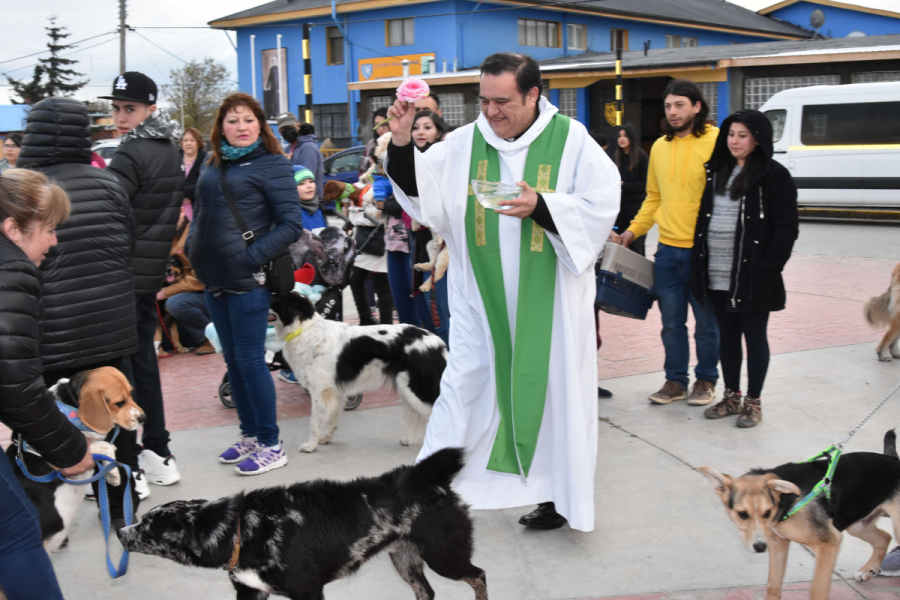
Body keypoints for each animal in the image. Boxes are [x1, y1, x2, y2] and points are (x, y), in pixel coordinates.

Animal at [6, 366, 144, 552]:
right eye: (120, 403)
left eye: (130, 394)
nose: (143, 418)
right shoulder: (66, 454)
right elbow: (103, 445)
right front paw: (113, 472)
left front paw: (111, 473)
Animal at [118, 448, 488, 596]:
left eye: (148, 527)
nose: (121, 532)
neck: (244, 529)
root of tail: (433, 483)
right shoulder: (251, 594)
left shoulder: (308, 593)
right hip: (406, 560)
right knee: (427, 591)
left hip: (445, 557)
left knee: (479, 576)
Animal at [270, 292, 446, 452]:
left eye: (274, 298)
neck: (303, 329)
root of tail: (438, 342)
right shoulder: (335, 391)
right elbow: (332, 417)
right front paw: (325, 438)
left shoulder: (320, 391)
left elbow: (314, 421)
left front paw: (310, 446)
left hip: (415, 390)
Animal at [700, 428, 900, 600]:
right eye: (742, 514)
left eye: (767, 512)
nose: (760, 547)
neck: (784, 501)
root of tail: (894, 461)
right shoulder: (778, 543)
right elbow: (773, 585)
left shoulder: (829, 543)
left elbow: (817, 590)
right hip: (858, 525)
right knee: (884, 538)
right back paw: (868, 570)